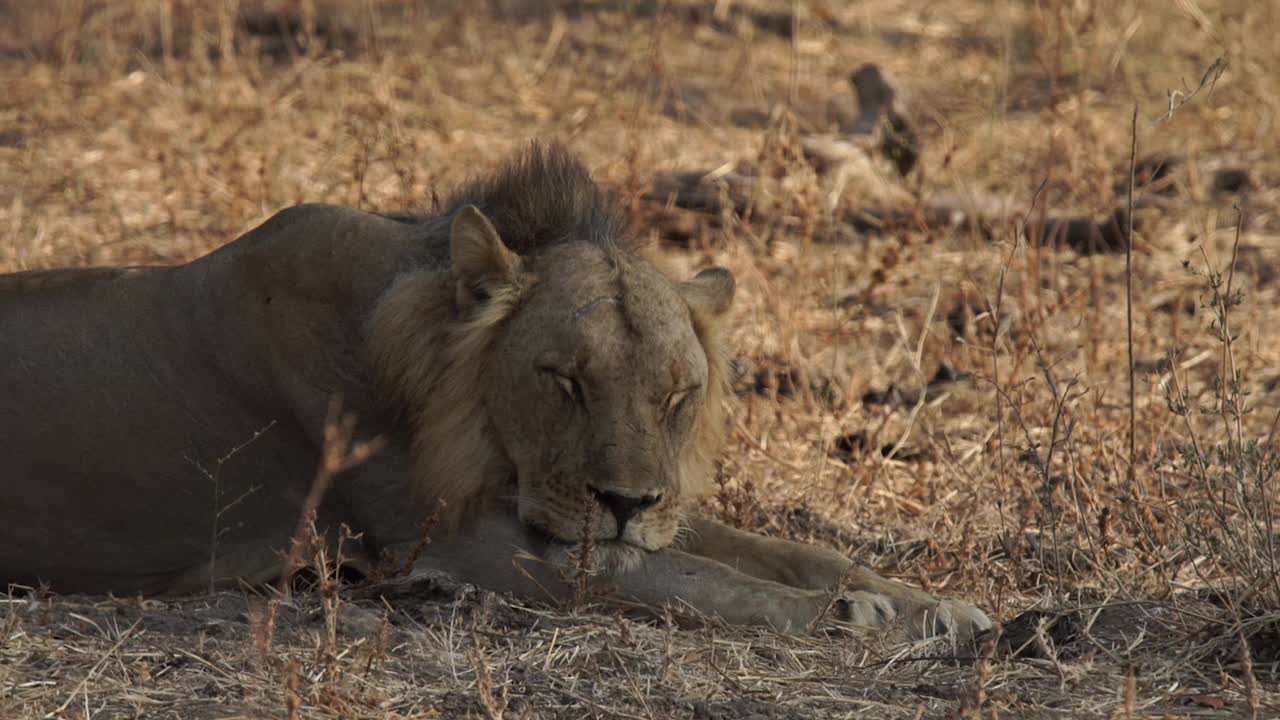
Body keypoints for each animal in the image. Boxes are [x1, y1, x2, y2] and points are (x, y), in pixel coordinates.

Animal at [0, 142, 988, 635]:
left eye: (676, 396)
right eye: (564, 380)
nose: (626, 503)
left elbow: (773, 548)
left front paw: (932, 605)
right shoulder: (462, 540)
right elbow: (692, 579)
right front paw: (849, 613)